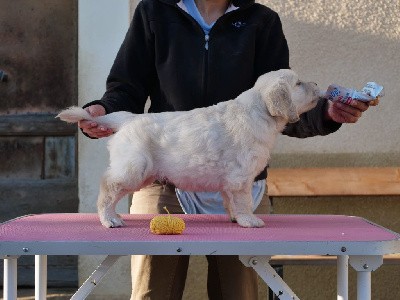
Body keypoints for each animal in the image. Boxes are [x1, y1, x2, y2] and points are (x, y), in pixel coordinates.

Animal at [57, 68, 318, 227]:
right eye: (298, 83)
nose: (316, 84)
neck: (259, 110)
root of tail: (128, 119)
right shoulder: (241, 176)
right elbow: (243, 200)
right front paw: (249, 220)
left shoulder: (230, 180)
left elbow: (230, 200)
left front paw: (235, 218)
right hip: (133, 168)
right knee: (108, 187)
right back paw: (109, 219)